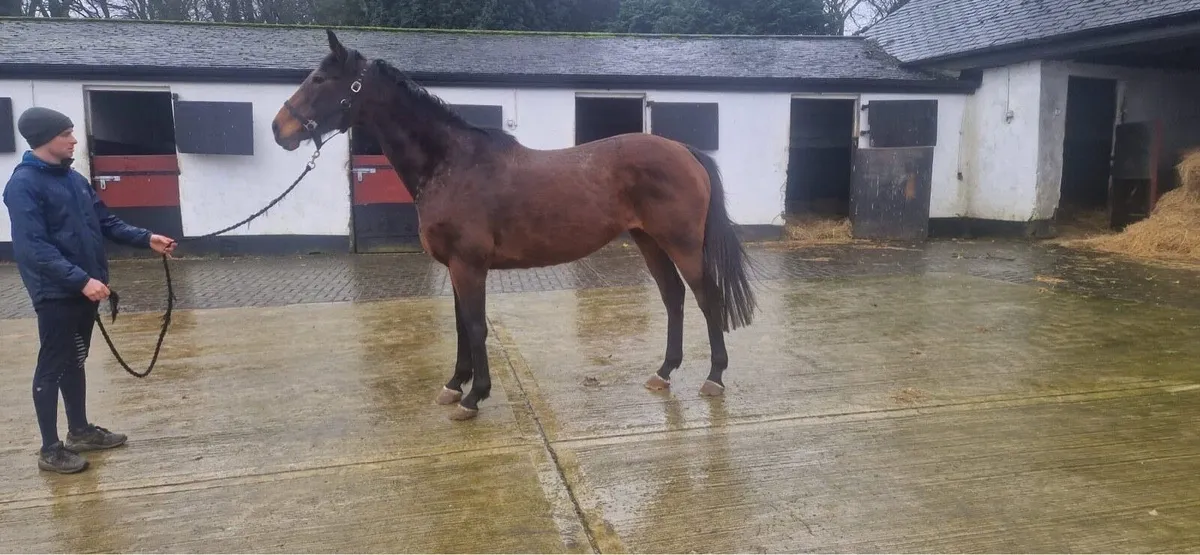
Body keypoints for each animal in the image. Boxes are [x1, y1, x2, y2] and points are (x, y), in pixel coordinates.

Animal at [271, 29, 758, 421]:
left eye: (320, 80)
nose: (280, 129)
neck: (451, 163)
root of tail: (684, 150)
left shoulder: (469, 265)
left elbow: (475, 326)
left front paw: (474, 398)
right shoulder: (455, 267)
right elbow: (460, 325)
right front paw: (454, 385)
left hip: (682, 244)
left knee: (706, 298)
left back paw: (714, 377)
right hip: (648, 241)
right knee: (673, 298)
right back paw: (663, 373)